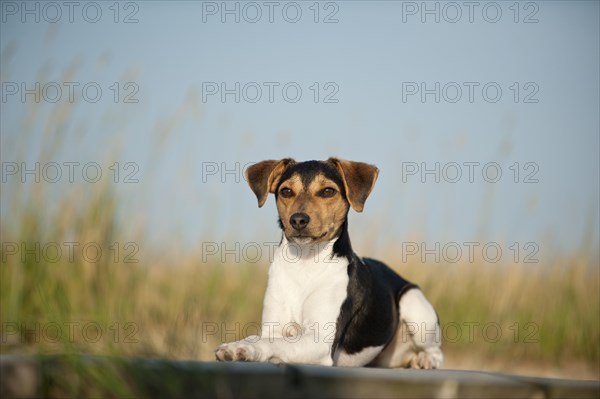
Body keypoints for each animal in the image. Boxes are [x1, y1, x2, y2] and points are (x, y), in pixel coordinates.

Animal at [214, 159, 440, 368]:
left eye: (328, 191)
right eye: (286, 191)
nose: (298, 220)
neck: (304, 263)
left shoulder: (320, 341)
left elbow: (273, 343)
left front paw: (240, 347)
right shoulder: (274, 326)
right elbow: (269, 338)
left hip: (415, 306)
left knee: (436, 352)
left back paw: (424, 360)